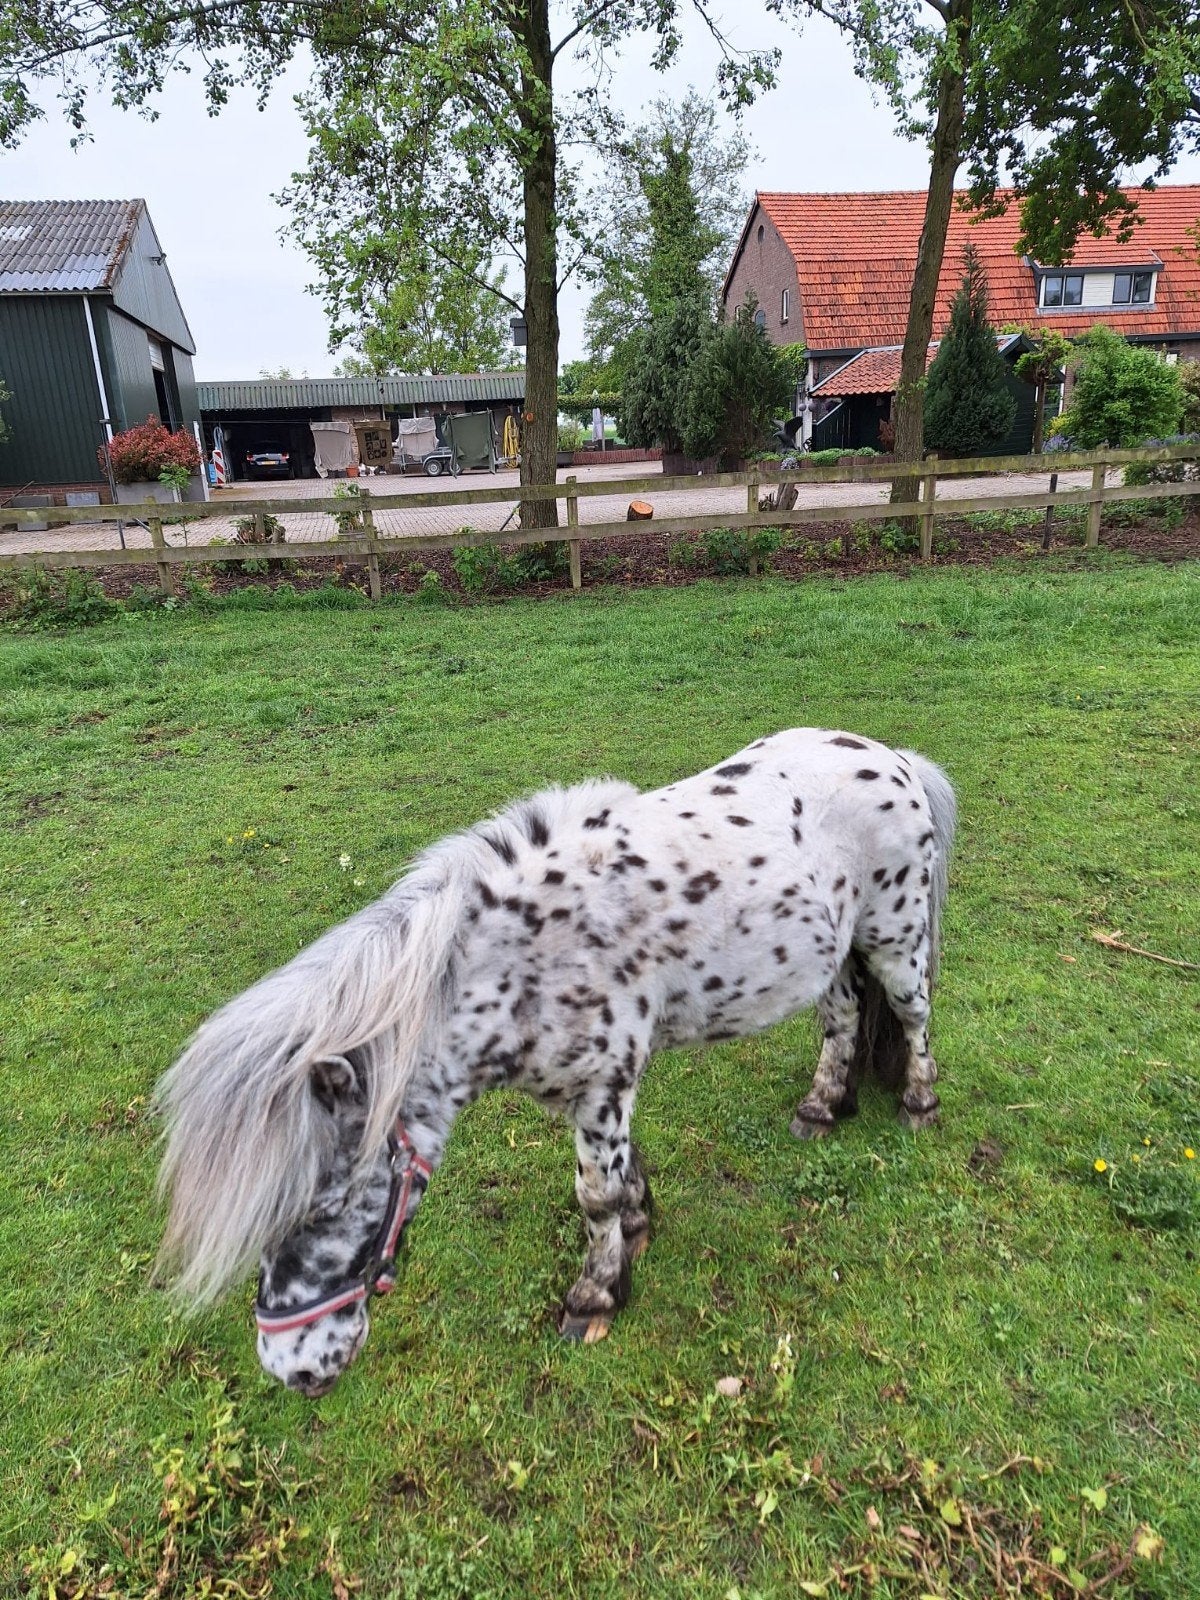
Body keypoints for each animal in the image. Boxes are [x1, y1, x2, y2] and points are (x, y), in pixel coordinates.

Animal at [155, 728, 955, 1396]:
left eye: (324, 1205)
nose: (291, 1370)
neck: (525, 958)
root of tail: (897, 758)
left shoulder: (602, 1084)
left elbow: (593, 1195)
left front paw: (594, 1297)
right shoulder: (595, 1088)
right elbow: (618, 1177)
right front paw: (637, 1230)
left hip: (896, 941)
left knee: (913, 1017)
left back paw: (918, 1105)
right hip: (836, 957)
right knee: (843, 1019)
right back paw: (821, 1107)